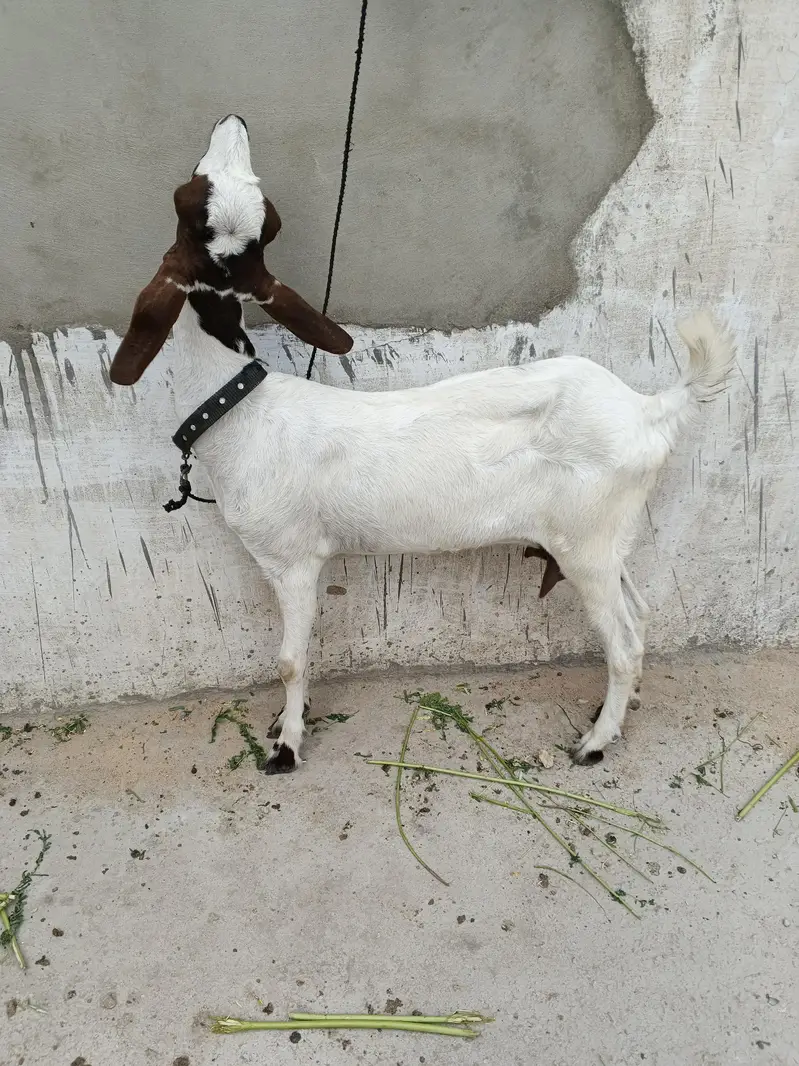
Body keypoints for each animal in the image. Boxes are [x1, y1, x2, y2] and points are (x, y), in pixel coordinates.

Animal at [110, 115, 735, 773]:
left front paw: (286, 746)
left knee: (623, 643)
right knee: (640, 616)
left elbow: (289, 661)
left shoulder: (292, 559)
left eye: (190, 201)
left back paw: (594, 743)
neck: (240, 408)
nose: (233, 121)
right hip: (606, 539)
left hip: (585, 545)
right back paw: (618, 710)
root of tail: (647, 408)